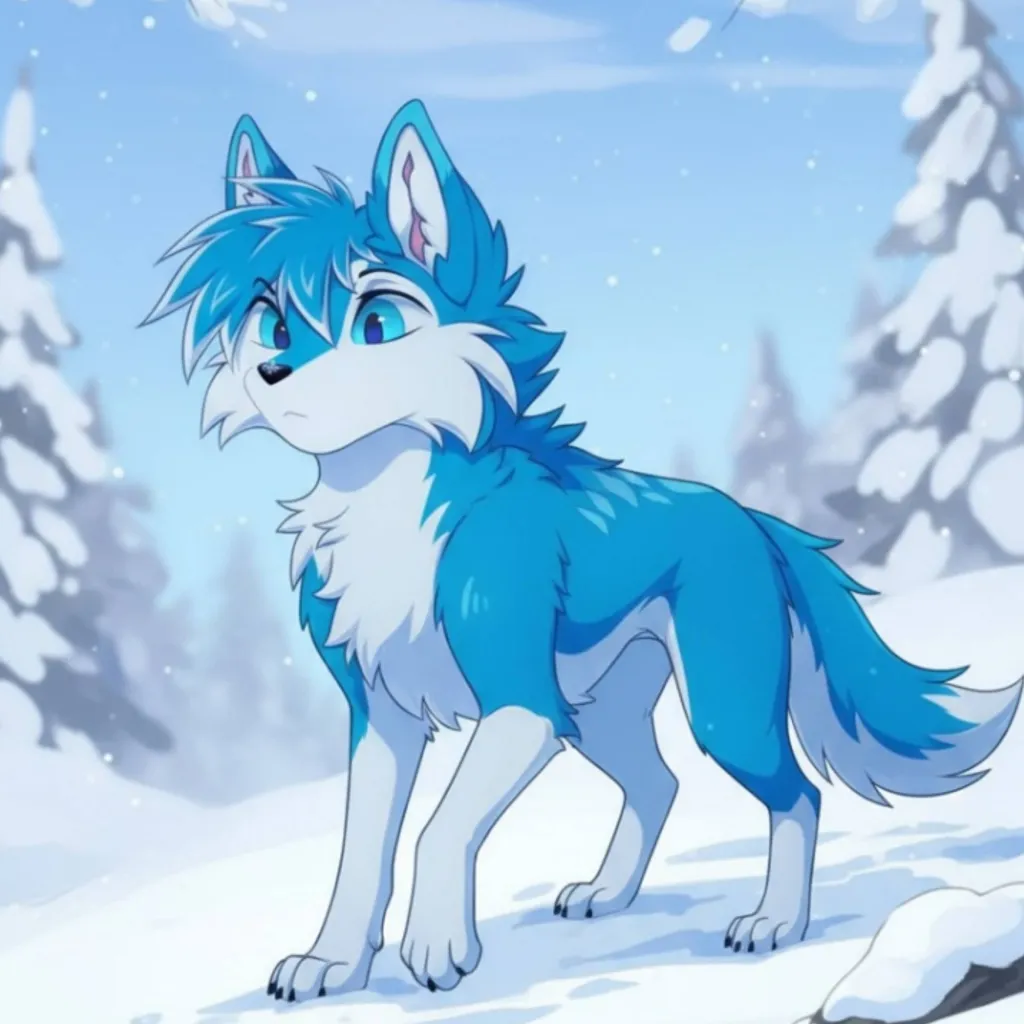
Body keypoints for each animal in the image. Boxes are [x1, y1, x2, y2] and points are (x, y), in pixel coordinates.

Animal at [144, 100, 1022, 1003]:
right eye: (272, 325)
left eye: (376, 324)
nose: (273, 373)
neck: (391, 508)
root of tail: (750, 517)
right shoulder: (383, 715)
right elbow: (360, 854)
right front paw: (334, 963)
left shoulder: (521, 703)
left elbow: (435, 829)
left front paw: (435, 947)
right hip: (598, 714)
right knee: (661, 782)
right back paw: (608, 892)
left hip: (718, 709)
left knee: (798, 795)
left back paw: (775, 923)